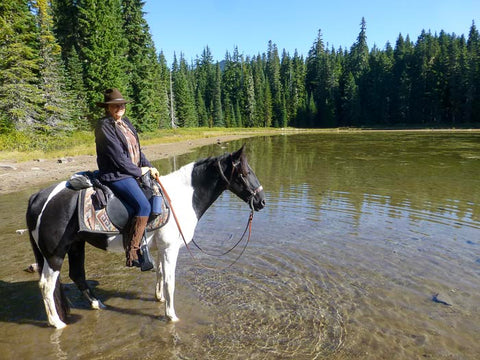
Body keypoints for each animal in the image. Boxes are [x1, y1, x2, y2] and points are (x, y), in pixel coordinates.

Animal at [26, 145, 266, 328]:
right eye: (245, 173)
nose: (262, 201)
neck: (181, 197)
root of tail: (39, 196)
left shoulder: (160, 248)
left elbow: (159, 274)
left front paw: (159, 299)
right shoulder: (170, 248)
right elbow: (170, 281)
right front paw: (171, 316)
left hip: (76, 245)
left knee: (77, 276)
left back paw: (97, 304)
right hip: (55, 254)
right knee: (46, 285)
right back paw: (57, 323)